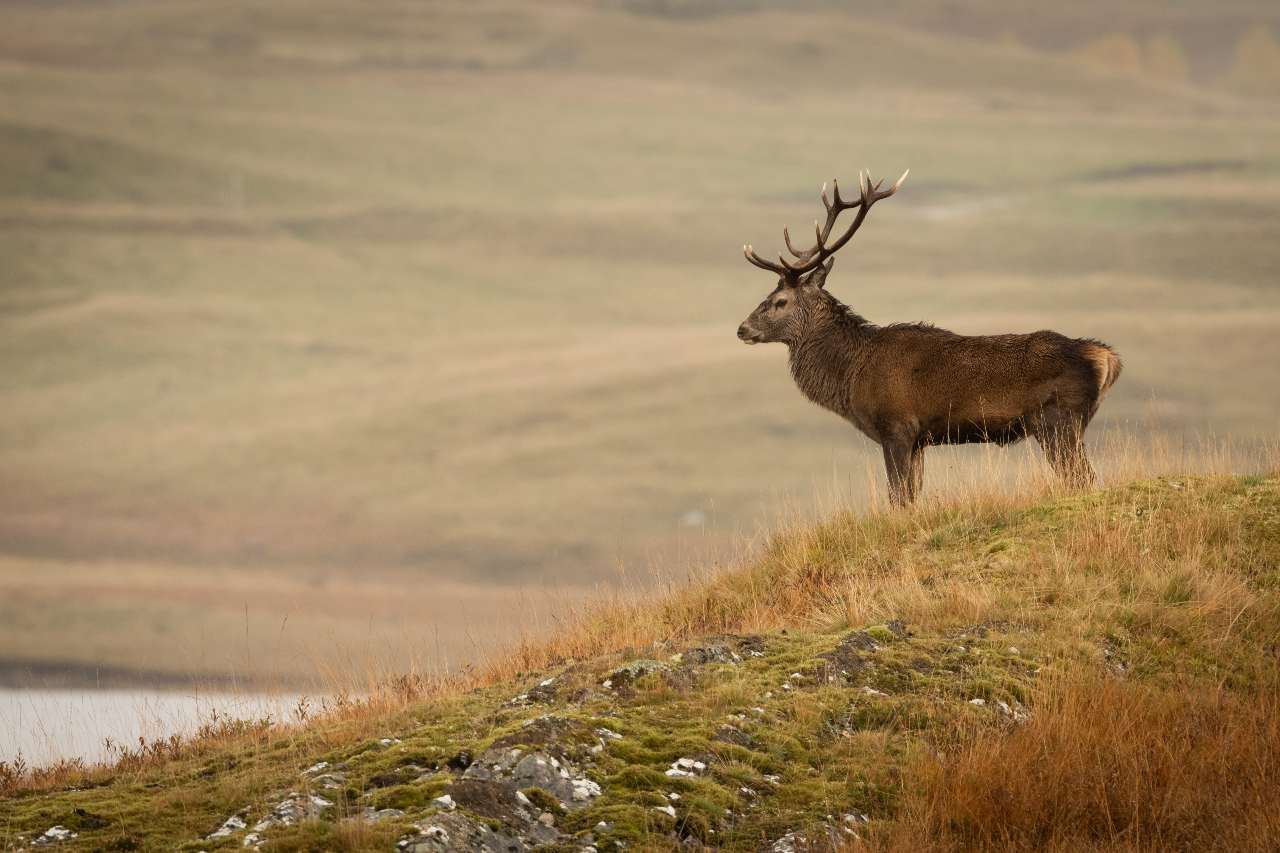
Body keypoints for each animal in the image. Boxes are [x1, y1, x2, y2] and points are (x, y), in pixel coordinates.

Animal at [737, 170, 1122, 507]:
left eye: (779, 301)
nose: (742, 328)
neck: (851, 374)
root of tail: (1106, 357)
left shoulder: (896, 426)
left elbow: (898, 498)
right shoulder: (920, 440)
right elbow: (912, 496)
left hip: (1059, 420)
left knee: (1083, 478)